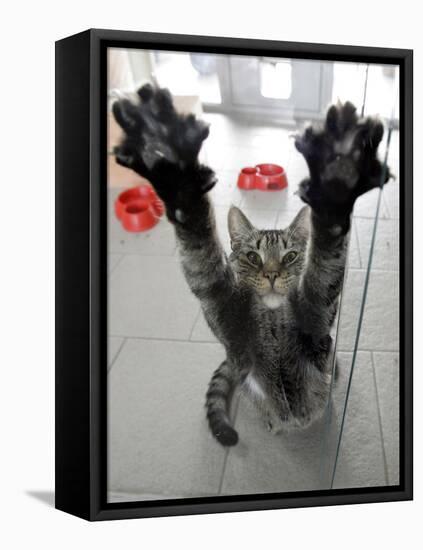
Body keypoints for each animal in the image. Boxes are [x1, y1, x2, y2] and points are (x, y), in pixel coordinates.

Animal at [112, 85, 390, 448]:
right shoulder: (222, 308)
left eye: (290, 257)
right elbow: (200, 251)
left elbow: (324, 266)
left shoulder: (318, 317)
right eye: (253, 257)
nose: (271, 275)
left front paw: (336, 182)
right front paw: (175, 169)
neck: (272, 318)